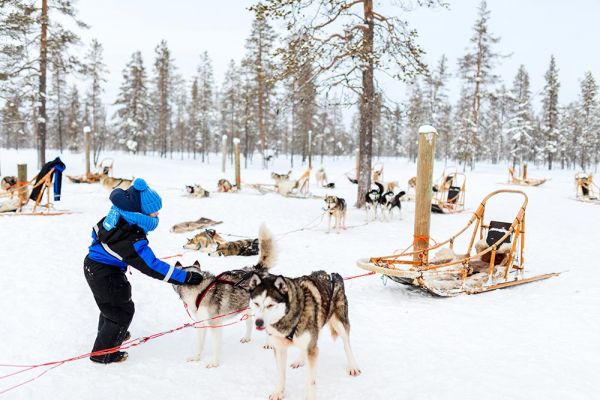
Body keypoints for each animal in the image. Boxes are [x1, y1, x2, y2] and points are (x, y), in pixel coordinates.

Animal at [172, 223, 276, 368]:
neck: (200, 291)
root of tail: (257, 270)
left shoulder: (215, 325)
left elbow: (215, 346)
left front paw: (214, 363)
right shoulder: (201, 324)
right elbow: (199, 344)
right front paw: (196, 357)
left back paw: (269, 343)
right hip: (247, 307)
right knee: (249, 322)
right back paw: (247, 337)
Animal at [248, 268, 360, 400]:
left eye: (270, 305)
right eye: (256, 303)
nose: (258, 322)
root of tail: (332, 275)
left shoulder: (312, 349)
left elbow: (311, 381)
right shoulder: (279, 348)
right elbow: (281, 374)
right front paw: (279, 392)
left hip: (340, 323)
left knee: (346, 345)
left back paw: (353, 366)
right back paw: (300, 360)